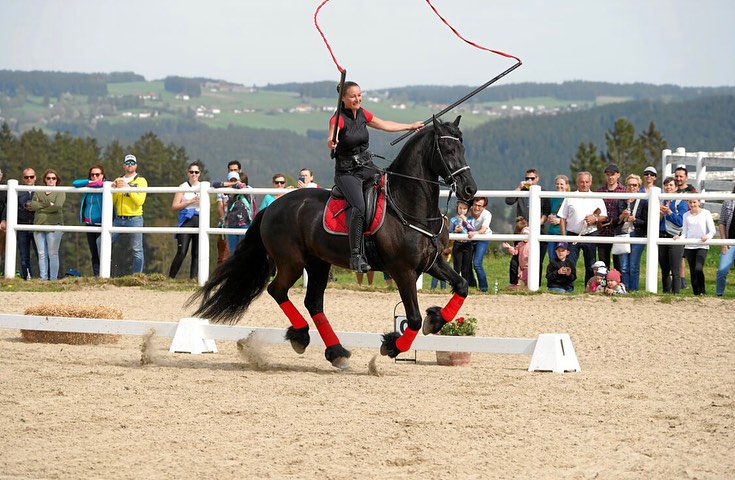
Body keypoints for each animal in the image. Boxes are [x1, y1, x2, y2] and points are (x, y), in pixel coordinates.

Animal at [190, 115, 478, 368]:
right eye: (447, 148)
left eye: (463, 148)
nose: (470, 189)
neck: (408, 205)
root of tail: (272, 207)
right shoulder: (402, 271)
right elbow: (414, 319)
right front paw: (393, 345)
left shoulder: (432, 263)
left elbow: (462, 286)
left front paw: (436, 319)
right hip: (292, 263)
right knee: (277, 291)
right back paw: (302, 336)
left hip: (318, 263)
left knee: (313, 302)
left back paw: (336, 352)